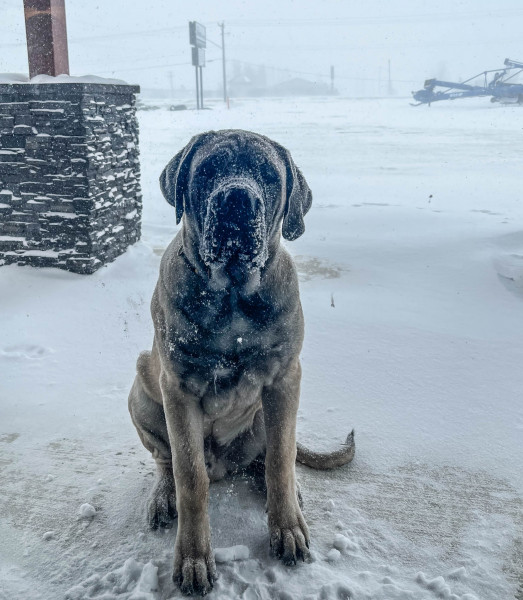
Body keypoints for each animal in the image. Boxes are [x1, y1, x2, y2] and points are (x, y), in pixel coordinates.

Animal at [129, 131, 354, 596]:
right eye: (208, 170)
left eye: (268, 175)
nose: (237, 198)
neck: (232, 298)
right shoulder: (178, 389)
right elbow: (189, 474)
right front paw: (194, 558)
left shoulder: (285, 379)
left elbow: (281, 459)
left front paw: (287, 528)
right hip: (140, 387)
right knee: (166, 462)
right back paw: (164, 496)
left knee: (269, 460)